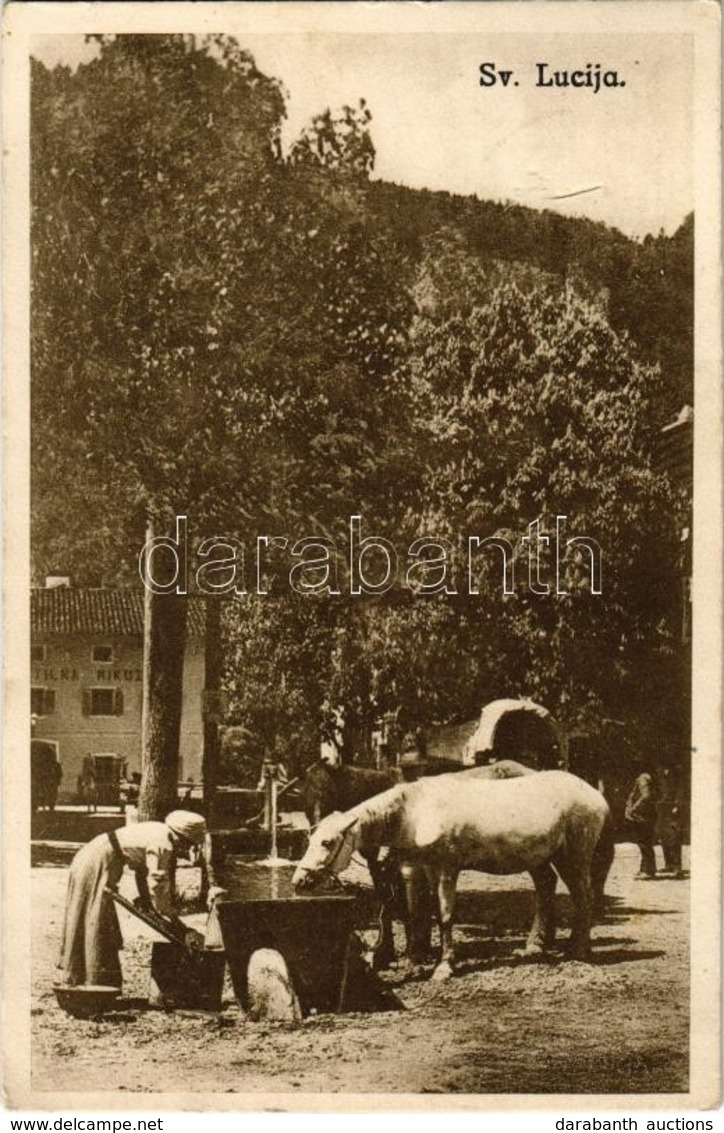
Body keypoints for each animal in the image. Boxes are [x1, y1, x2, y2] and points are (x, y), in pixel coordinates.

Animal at [292, 770, 611, 983]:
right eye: (311, 839)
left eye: (327, 842)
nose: (299, 881)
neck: (417, 812)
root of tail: (596, 795)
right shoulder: (428, 868)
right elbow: (426, 912)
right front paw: (419, 961)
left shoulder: (448, 868)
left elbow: (445, 915)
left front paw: (444, 967)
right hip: (539, 856)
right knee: (546, 886)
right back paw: (536, 946)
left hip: (574, 855)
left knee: (584, 896)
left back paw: (577, 950)